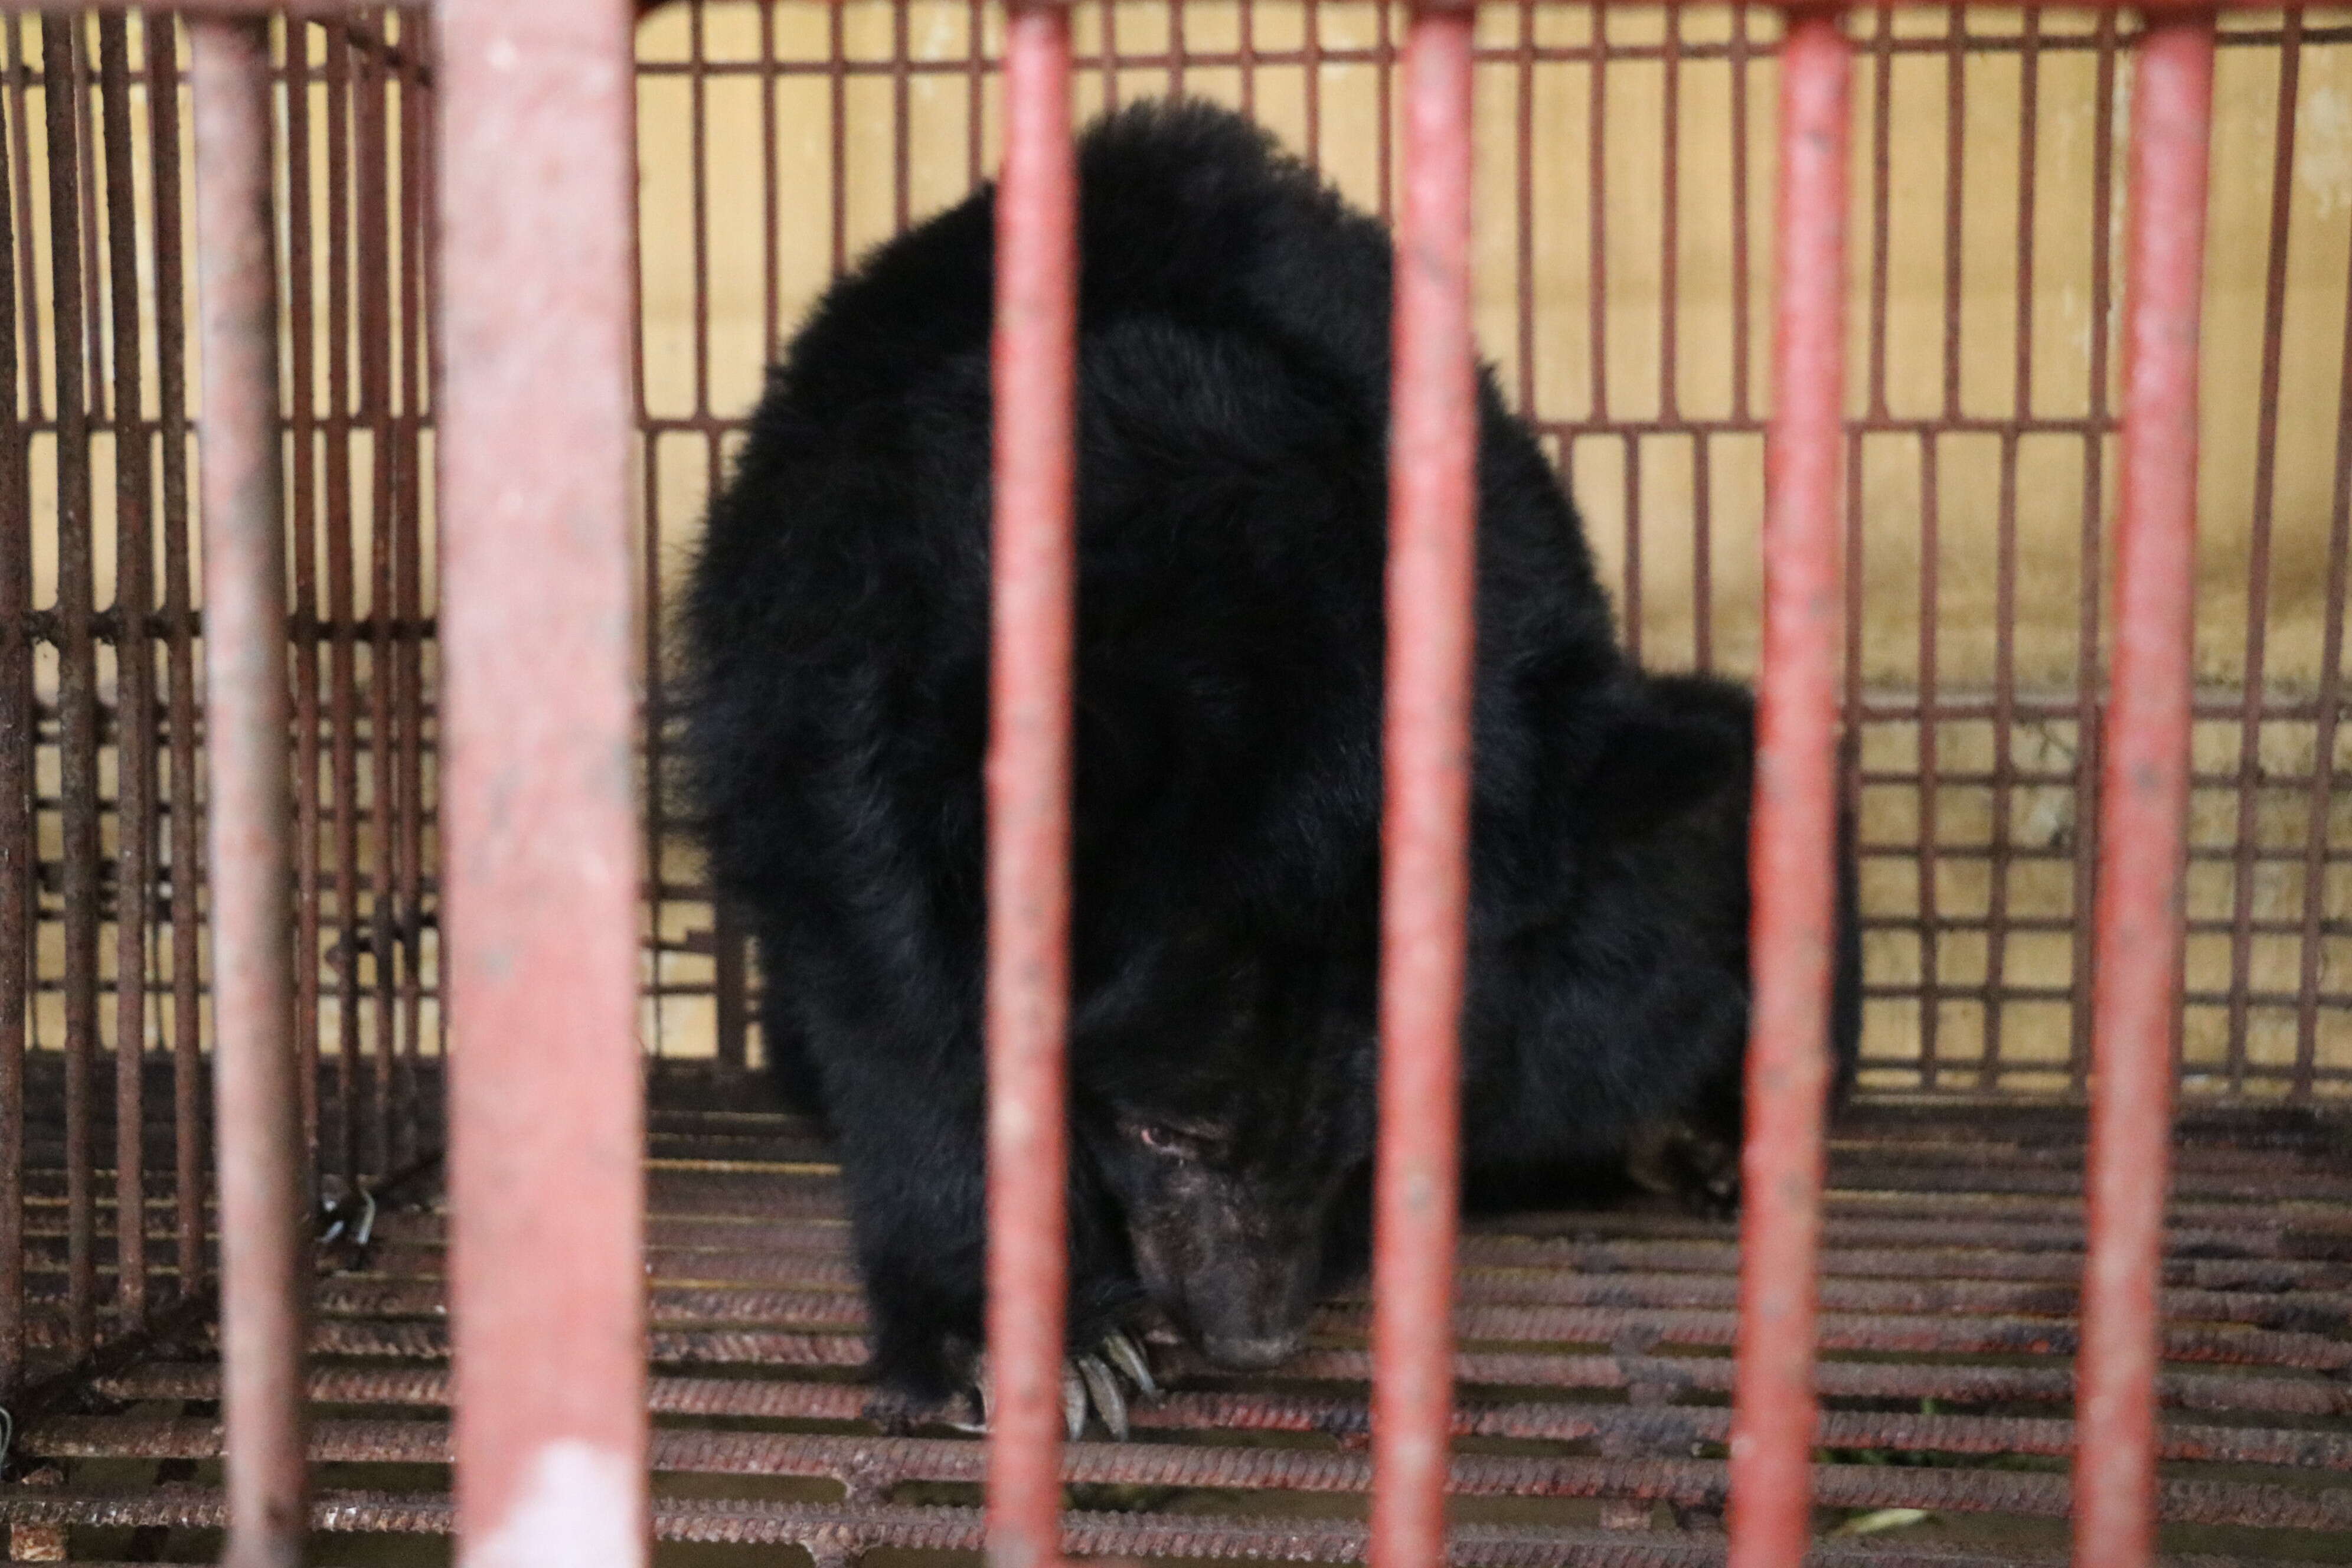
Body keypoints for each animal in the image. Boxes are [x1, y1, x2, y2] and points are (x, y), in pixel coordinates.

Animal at [672, 98, 1863, 1438]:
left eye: (1370, 1116)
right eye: (1157, 1127)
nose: (1251, 1336)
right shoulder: (847, 674)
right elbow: (893, 984)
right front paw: (1036, 1341)